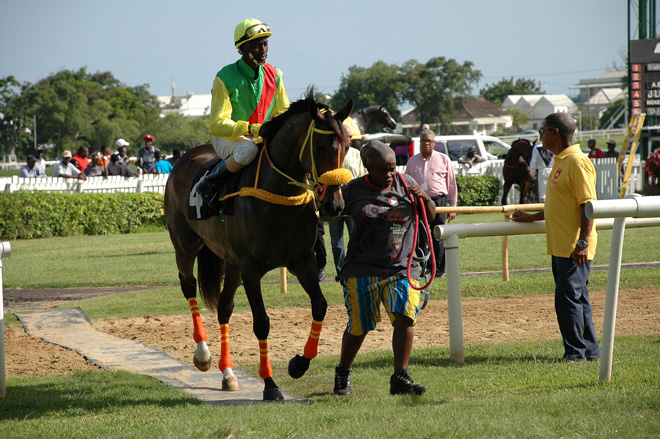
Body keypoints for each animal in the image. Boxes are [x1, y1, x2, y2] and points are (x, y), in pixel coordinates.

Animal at [163, 91, 354, 400]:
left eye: (347, 146)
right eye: (320, 146)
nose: (333, 205)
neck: (277, 196)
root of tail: (184, 158)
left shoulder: (303, 261)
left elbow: (320, 306)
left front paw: (299, 364)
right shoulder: (251, 269)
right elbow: (262, 322)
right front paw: (270, 384)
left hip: (231, 261)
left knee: (224, 307)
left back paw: (228, 374)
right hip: (185, 245)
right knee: (188, 286)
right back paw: (202, 354)